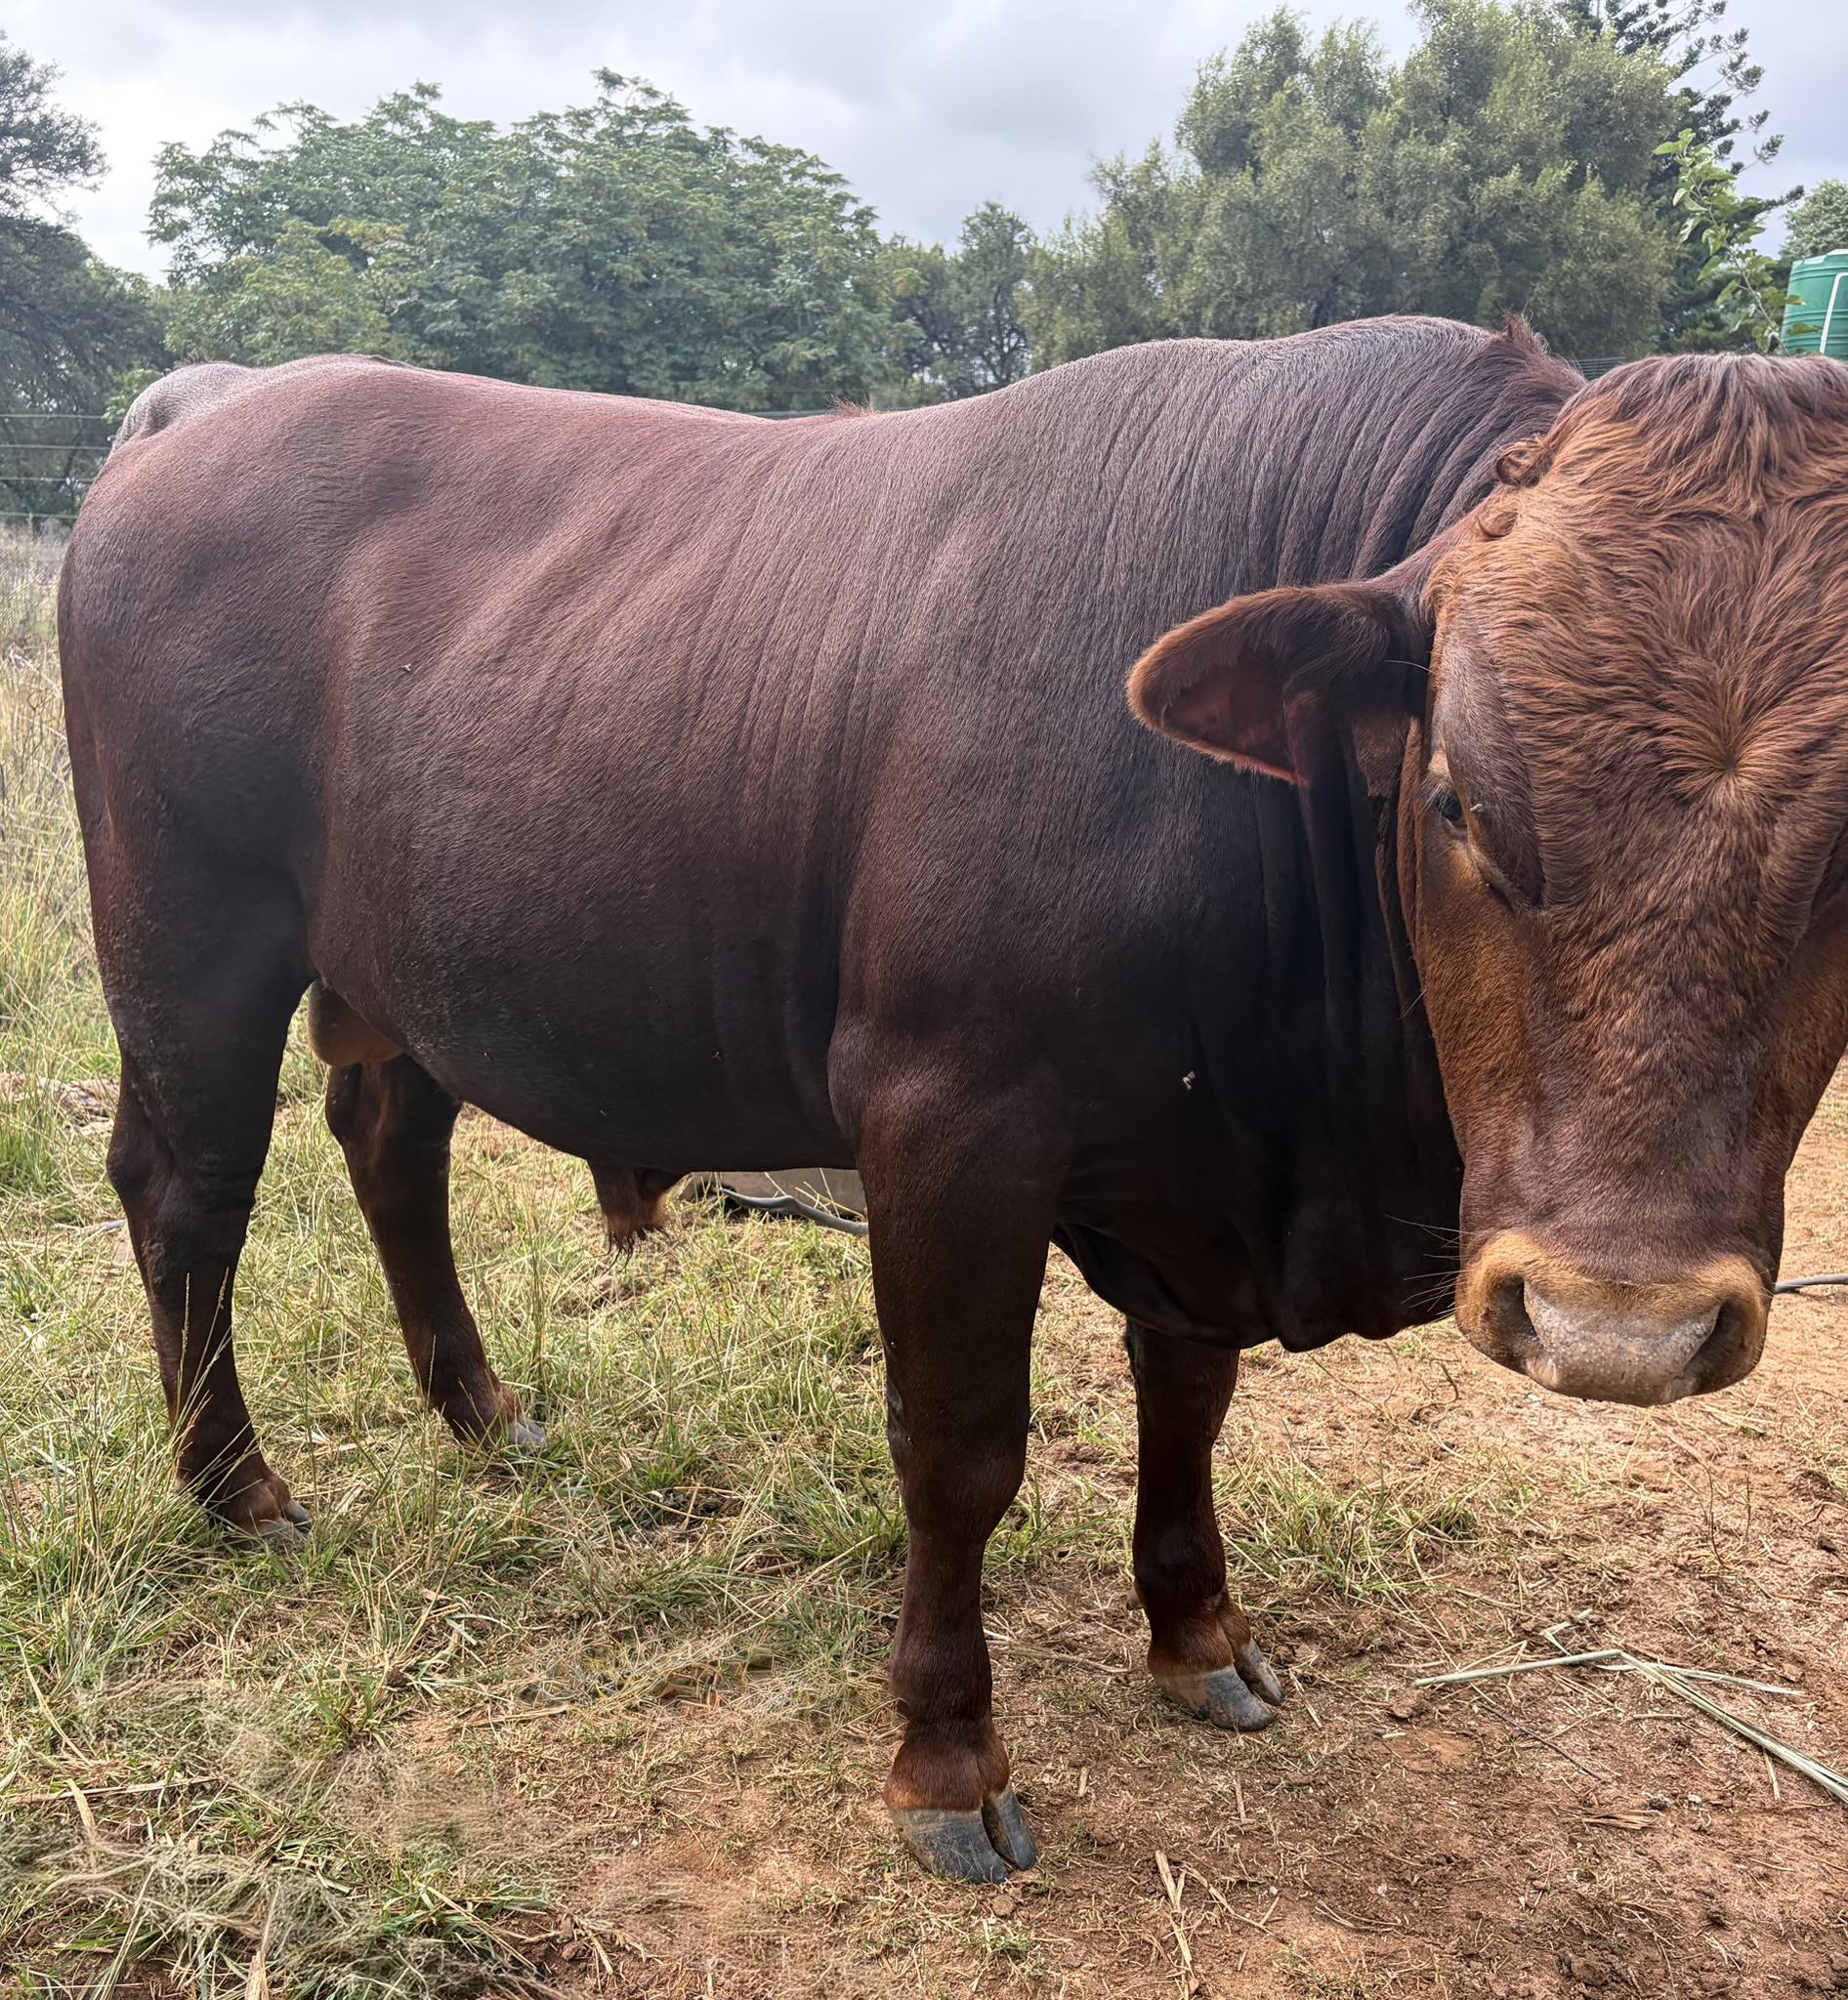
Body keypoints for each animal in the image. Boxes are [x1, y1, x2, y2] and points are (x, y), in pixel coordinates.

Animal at [58, 320, 1848, 1882]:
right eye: (1455, 796)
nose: (1617, 1326)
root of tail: (220, 394)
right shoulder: (944, 1120)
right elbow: (959, 1446)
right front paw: (945, 1755)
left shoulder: (1189, 1170)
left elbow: (1185, 1400)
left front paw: (1199, 1632)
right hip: (190, 941)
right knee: (187, 1188)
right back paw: (235, 1486)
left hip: (400, 967)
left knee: (388, 1141)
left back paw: (482, 1411)